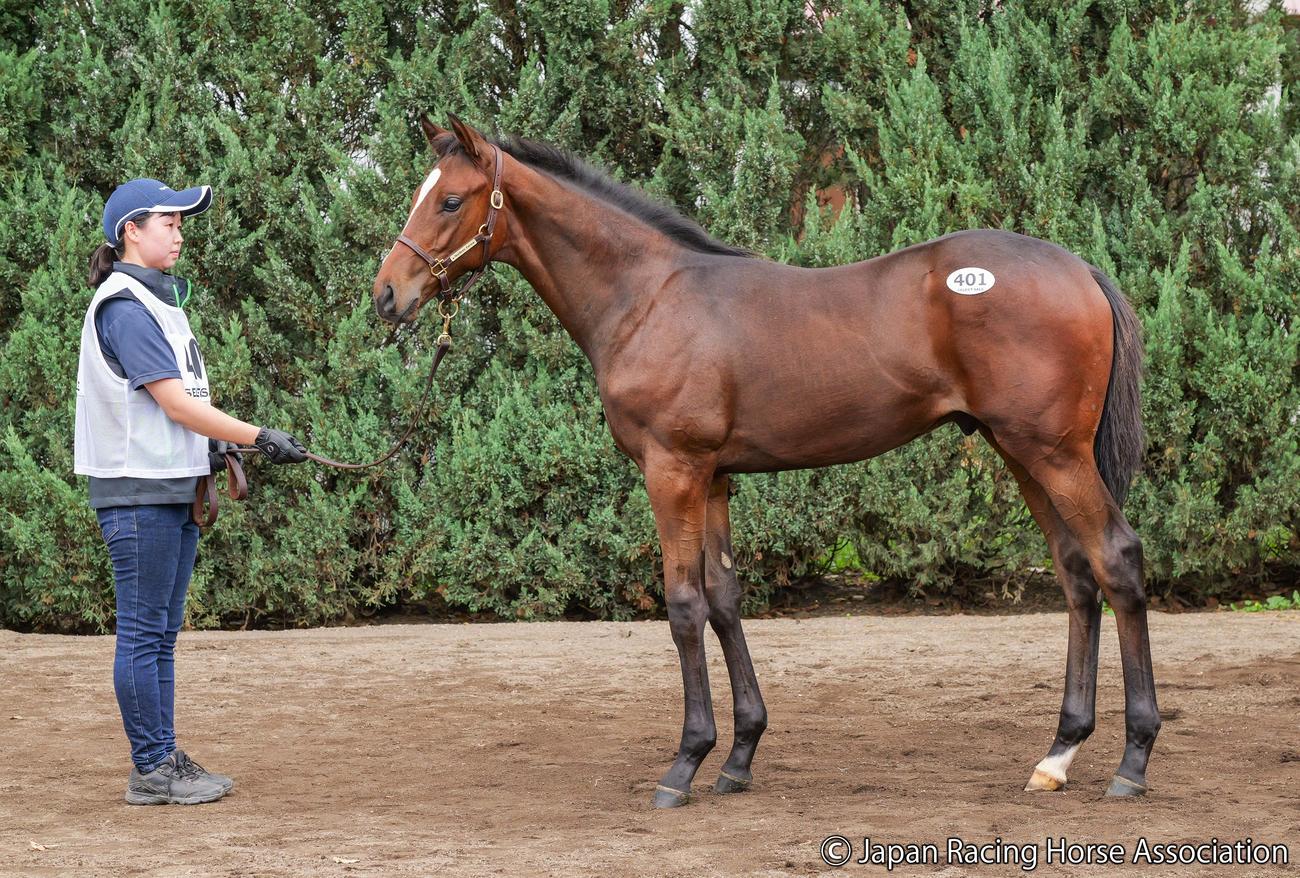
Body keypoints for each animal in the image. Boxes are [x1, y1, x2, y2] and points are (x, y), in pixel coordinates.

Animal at [372, 114, 1156, 808]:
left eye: (450, 199)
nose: (386, 295)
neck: (647, 297)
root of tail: (1081, 269)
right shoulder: (715, 477)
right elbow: (724, 599)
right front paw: (740, 755)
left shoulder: (672, 470)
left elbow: (684, 605)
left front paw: (685, 763)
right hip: (1019, 452)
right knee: (1076, 573)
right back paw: (1057, 757)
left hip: (1053, 453)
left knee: (1116, 558)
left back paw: (1132, 761)